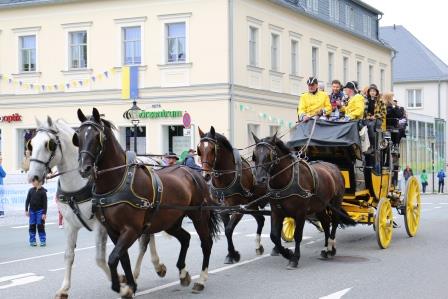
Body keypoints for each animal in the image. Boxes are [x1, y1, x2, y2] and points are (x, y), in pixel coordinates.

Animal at [26, 117, 166, 299]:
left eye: (49, 144)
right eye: (31, 144)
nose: (33, 176)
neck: (78, 184)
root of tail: (154, 160)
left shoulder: (101, 225)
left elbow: (99, 259)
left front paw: (121, 283)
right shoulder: (70, 225)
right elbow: (68, 255)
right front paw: (64, 288)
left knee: (144, 242)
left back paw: (139, 273)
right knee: (148, 237)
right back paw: (155, 266)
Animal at [73, 109, 220, 298]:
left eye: (97, 136)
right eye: (78, 136)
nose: (84, 169)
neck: (118, 182)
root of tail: (195, 173)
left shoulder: (131, 230)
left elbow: (113, 259)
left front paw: (122, 287)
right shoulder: (113, 231)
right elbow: (122, 258)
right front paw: (131, 285)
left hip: (198, 215)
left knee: (206, 243)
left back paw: (201, 280)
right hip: (171, 222)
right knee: (185, 238)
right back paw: (183, 273)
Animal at [197, 126, 266, 264]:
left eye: (212, 149)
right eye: (200, 150)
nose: (206, 176)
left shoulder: (238, 209)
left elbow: (229, 230)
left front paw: (233, 254)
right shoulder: (223, 210)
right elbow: (227, 230)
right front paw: (231, 254)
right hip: (252, 205)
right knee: (261, 220)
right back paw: (258, 246)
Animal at [250, 135, 356, 270]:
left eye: (270, 155)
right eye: (255, 155)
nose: (260, 179)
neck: (287, 180)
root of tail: (334, 167)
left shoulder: (300, 213)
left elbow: (297, 235)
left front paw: (294, 258)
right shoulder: (276, 212)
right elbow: (274, 236)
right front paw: (287, 253)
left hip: (335, 203)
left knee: (335, 222)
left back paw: (331, 248)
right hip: (320, 206)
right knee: (326, 223)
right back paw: (325, 249)